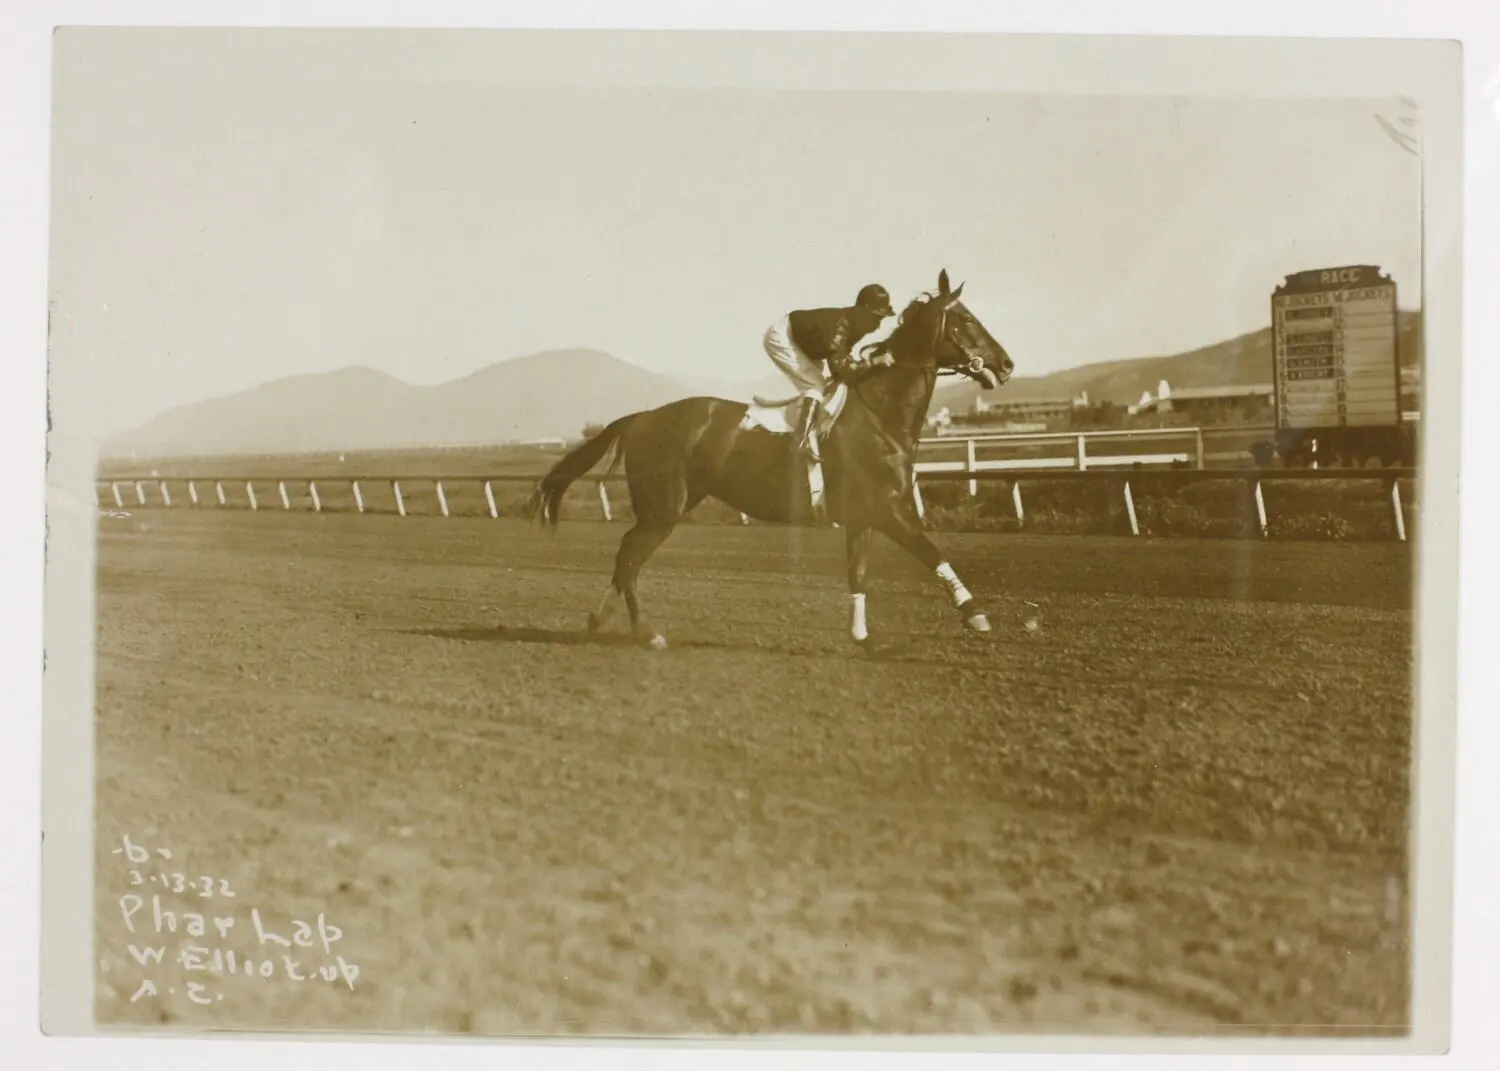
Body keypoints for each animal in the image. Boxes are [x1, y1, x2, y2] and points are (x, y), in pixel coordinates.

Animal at [522, 271, 1014, 648]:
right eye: (967, 319)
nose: (1006, 364)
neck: (880, 412)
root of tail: (641, 417)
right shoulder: (889, 509)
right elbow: (933, 552)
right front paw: (976, 614)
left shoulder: (863, 516)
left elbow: (857, 573)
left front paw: (859, 636)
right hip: (663, 508)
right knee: (628, 557)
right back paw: (647, 633)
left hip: (671, 505)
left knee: (627, 559)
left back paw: (599, 619)